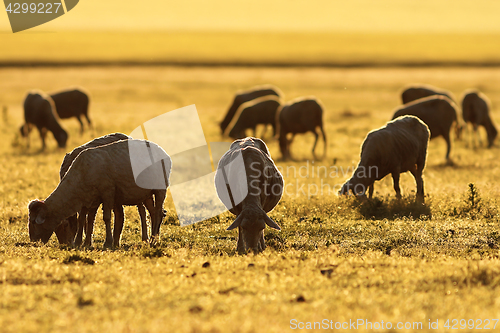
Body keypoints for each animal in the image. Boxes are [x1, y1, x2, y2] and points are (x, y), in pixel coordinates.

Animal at [28, 138, 171, 246]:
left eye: (34, 223)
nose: (34, 241)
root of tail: (165, 154)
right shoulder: (89, 198)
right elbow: (84, 219)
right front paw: (81, 242)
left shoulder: (107, 192)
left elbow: (106, 217)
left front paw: (107, 242)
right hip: (146, 193)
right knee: (153, 213)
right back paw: (154, 238)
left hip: (160, 189)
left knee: (159, 212)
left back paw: (153, 241)